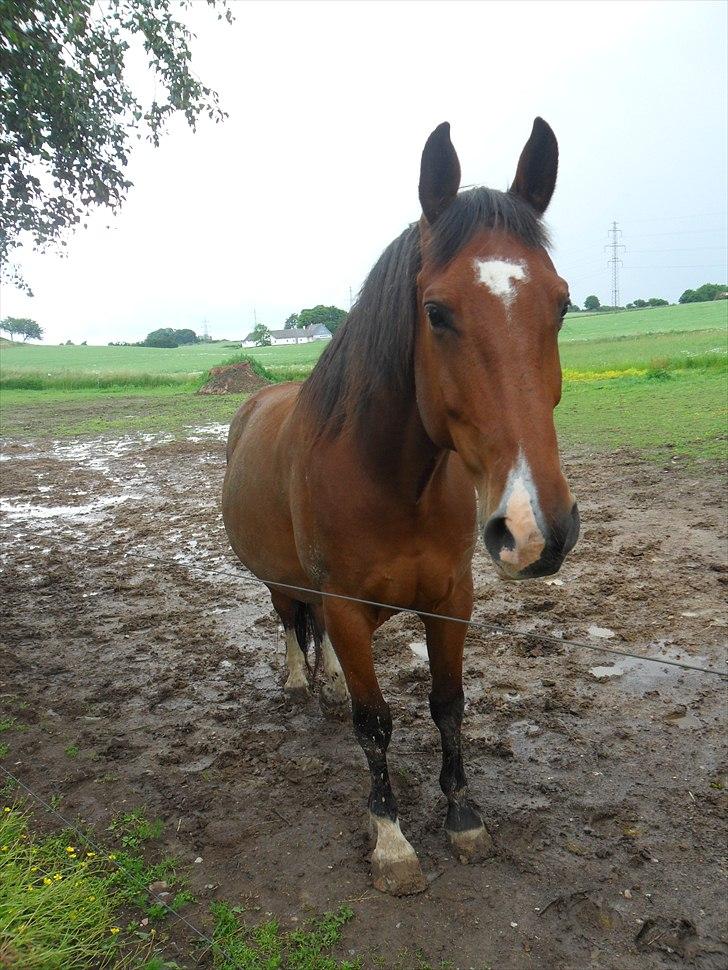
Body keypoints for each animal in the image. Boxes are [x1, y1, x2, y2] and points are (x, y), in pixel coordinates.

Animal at [222, 118, 580, 896]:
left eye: (563, 303)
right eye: (436, 313)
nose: (537, 529)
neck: (390, 482)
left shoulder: (450, 599)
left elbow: (447, 706)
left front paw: (464, 818)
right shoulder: (347, 607)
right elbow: (375, 721)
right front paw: (389, 838)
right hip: (282, 579)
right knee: (289, 620)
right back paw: (297, 680)